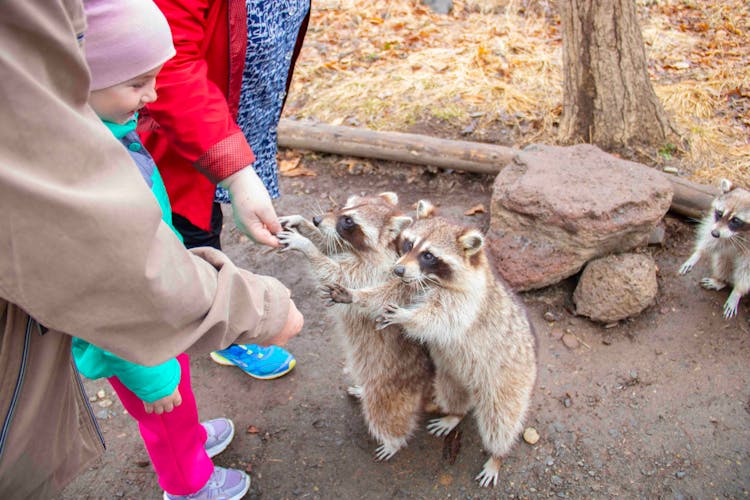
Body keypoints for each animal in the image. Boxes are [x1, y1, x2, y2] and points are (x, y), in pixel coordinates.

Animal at [324, 200, 540, 488]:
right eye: (408, 244)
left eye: (428, 256)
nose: (398, 269)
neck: (433, 280)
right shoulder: (411, 284)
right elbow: (388, 292)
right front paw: (357, 295)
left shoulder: (467, 300)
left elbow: (441, 318)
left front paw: (407, 317)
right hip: (450, 374)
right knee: (453, 393)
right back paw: (455, 414)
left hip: (509, 380)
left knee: (500, 420)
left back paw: (497, 455)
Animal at [680, 178, 750, 318]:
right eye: (719, 213)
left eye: (736, 220)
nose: (715, 233)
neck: (739, 234)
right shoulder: (719, 231)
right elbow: (713, 242)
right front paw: (698, 254)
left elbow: (746, 272)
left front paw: (737, 291)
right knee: (723, 261)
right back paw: (722, 280)